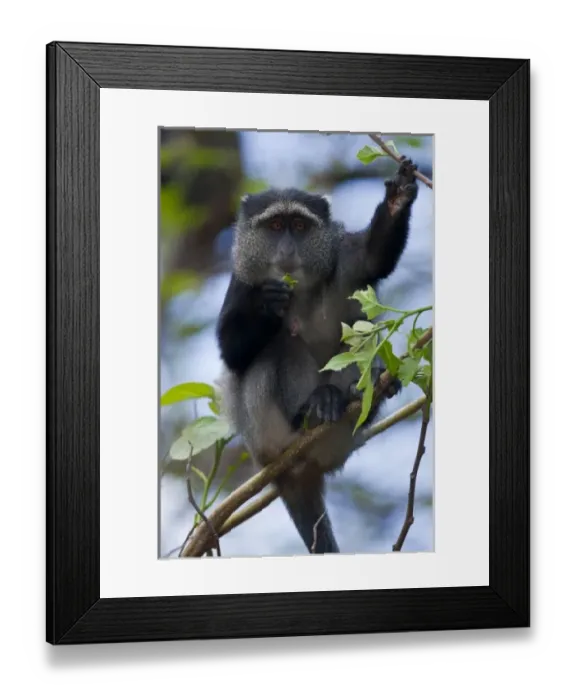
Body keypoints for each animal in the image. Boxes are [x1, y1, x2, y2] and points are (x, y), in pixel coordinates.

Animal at [215, 157, 419, 554]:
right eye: (275, 226)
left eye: (299, 226)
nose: (287, 250)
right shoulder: (241, 282)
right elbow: (231, 352)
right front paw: (268, 304)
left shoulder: (342, 256)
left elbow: (373, 259)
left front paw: (398, 199)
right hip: (264, 429)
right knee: (281, 345)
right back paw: (309, 411)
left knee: (357, 340)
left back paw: (360, 393)